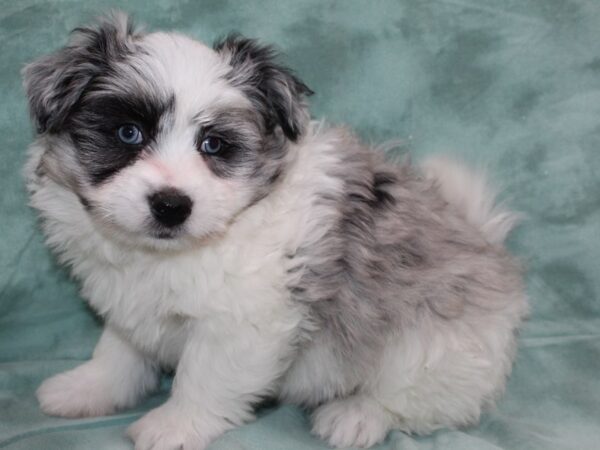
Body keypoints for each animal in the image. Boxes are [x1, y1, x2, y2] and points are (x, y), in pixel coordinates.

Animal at [23, 12, 528, 450]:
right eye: (128, 133)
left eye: (214, 145)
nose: (171, 205)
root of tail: (486, 245)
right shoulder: (132, 304)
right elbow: (119, 351)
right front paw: (88, 388)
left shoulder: (242, 322)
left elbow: (203, 377)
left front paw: (176, 425)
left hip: (437, 347)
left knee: (417, 397)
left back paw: (356, 415)